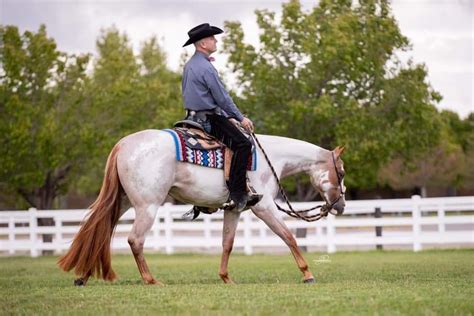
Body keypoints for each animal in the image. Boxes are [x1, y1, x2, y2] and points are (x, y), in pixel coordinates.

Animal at [58, 128, 344, 284]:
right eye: (341, 172)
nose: (340, 206)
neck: (269, 157)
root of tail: (124, 144)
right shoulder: (264, 208)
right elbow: (288, 237)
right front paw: (307, 274)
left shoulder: (234, 208)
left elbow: (227, 243)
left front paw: (226, 277)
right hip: (148, 205)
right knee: (135, 240)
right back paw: (151, 280)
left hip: (124, 201)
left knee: (100, 231)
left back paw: (83, 276)